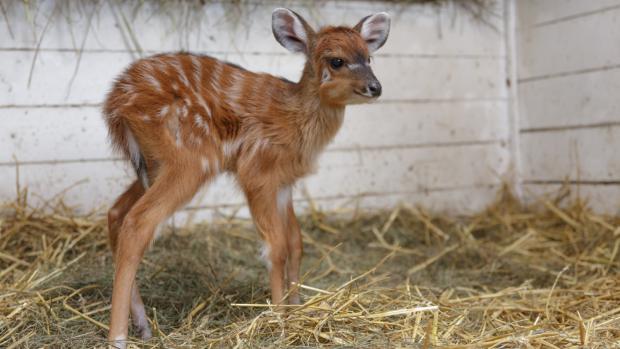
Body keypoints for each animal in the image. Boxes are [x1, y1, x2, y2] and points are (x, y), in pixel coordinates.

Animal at [104, 7, 390, 346]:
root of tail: (116, 104)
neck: (294, 120)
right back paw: (118, 337)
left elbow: (296, 242)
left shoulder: (284, 182)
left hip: (154, 163)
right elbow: (276, 248)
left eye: (369, 57)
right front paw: (280, 320)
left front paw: (296, 310)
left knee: (117, 212)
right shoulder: (257, 172)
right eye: (336, 61)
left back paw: (143, 325)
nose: (375, 87)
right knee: (138, 222)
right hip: (189, 160)